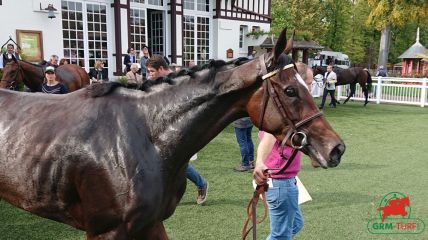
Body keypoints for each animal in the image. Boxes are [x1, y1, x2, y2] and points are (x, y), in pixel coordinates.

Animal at [0, 29, 346, 239]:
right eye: (290, 91)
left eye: (305, 84)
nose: (336, 148)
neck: (144, 138)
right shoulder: (104, 231)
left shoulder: (151, 224)